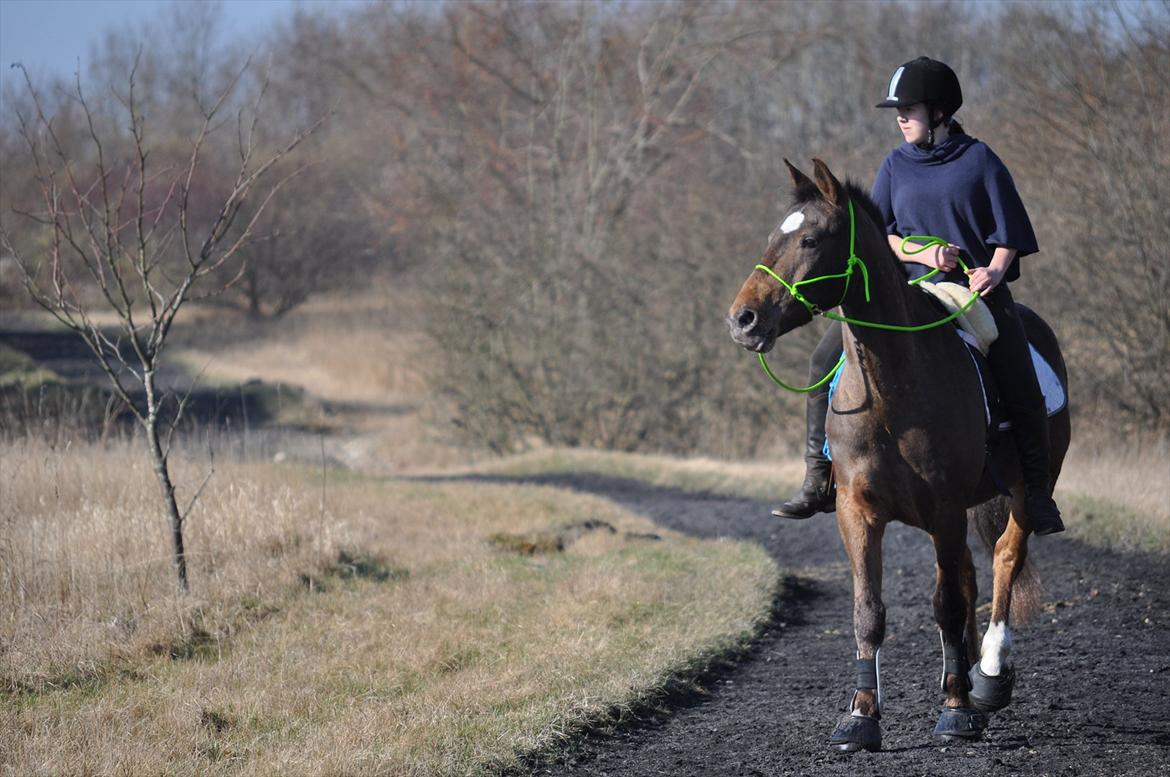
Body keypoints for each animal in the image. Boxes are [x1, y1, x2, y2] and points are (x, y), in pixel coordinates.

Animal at [725, 159, 1071, 753]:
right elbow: (869, 611)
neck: (893, 389)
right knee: (971, 576)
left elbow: (947, 603)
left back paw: (988, 675)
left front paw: (956, 711)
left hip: (1026, 488)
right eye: (775, 235)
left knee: (1005, 557)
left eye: (811, 239)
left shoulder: (946, 508)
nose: (742, 320)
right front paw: (861, 717)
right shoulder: (857, 511)